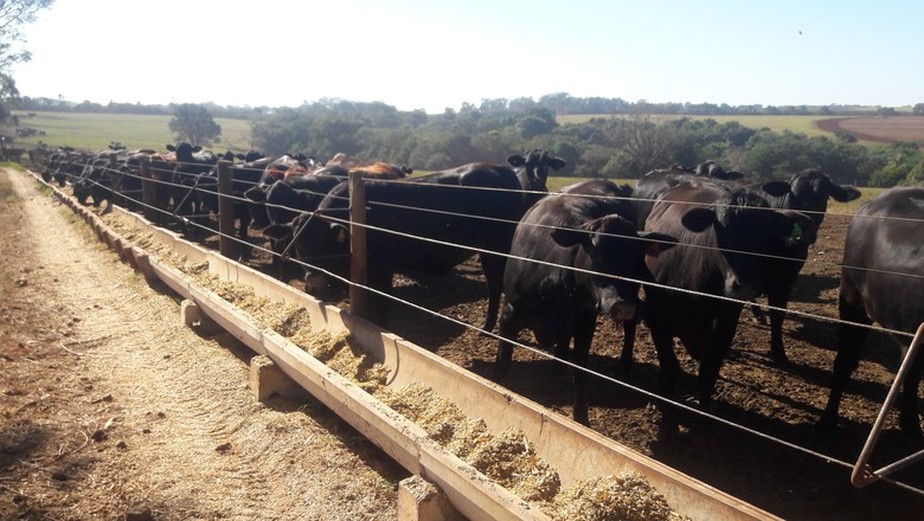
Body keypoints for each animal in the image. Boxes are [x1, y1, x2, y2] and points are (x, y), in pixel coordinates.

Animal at [494, 181, 676, 424]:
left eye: (637, 257)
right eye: (596, 255)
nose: (623, 305)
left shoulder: (585, 323)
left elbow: (579, 370)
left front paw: (581, 417)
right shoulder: (509, 313)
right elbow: (503, 362)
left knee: (629, 327)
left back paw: (623, 365)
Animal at [644, 179, 816, 434]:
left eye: (765, 233)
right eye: (721, 231)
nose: (745, 285)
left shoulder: (725, 324)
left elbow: (709, 370)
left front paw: (704, 409)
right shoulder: (657, 315)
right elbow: (668, 364)